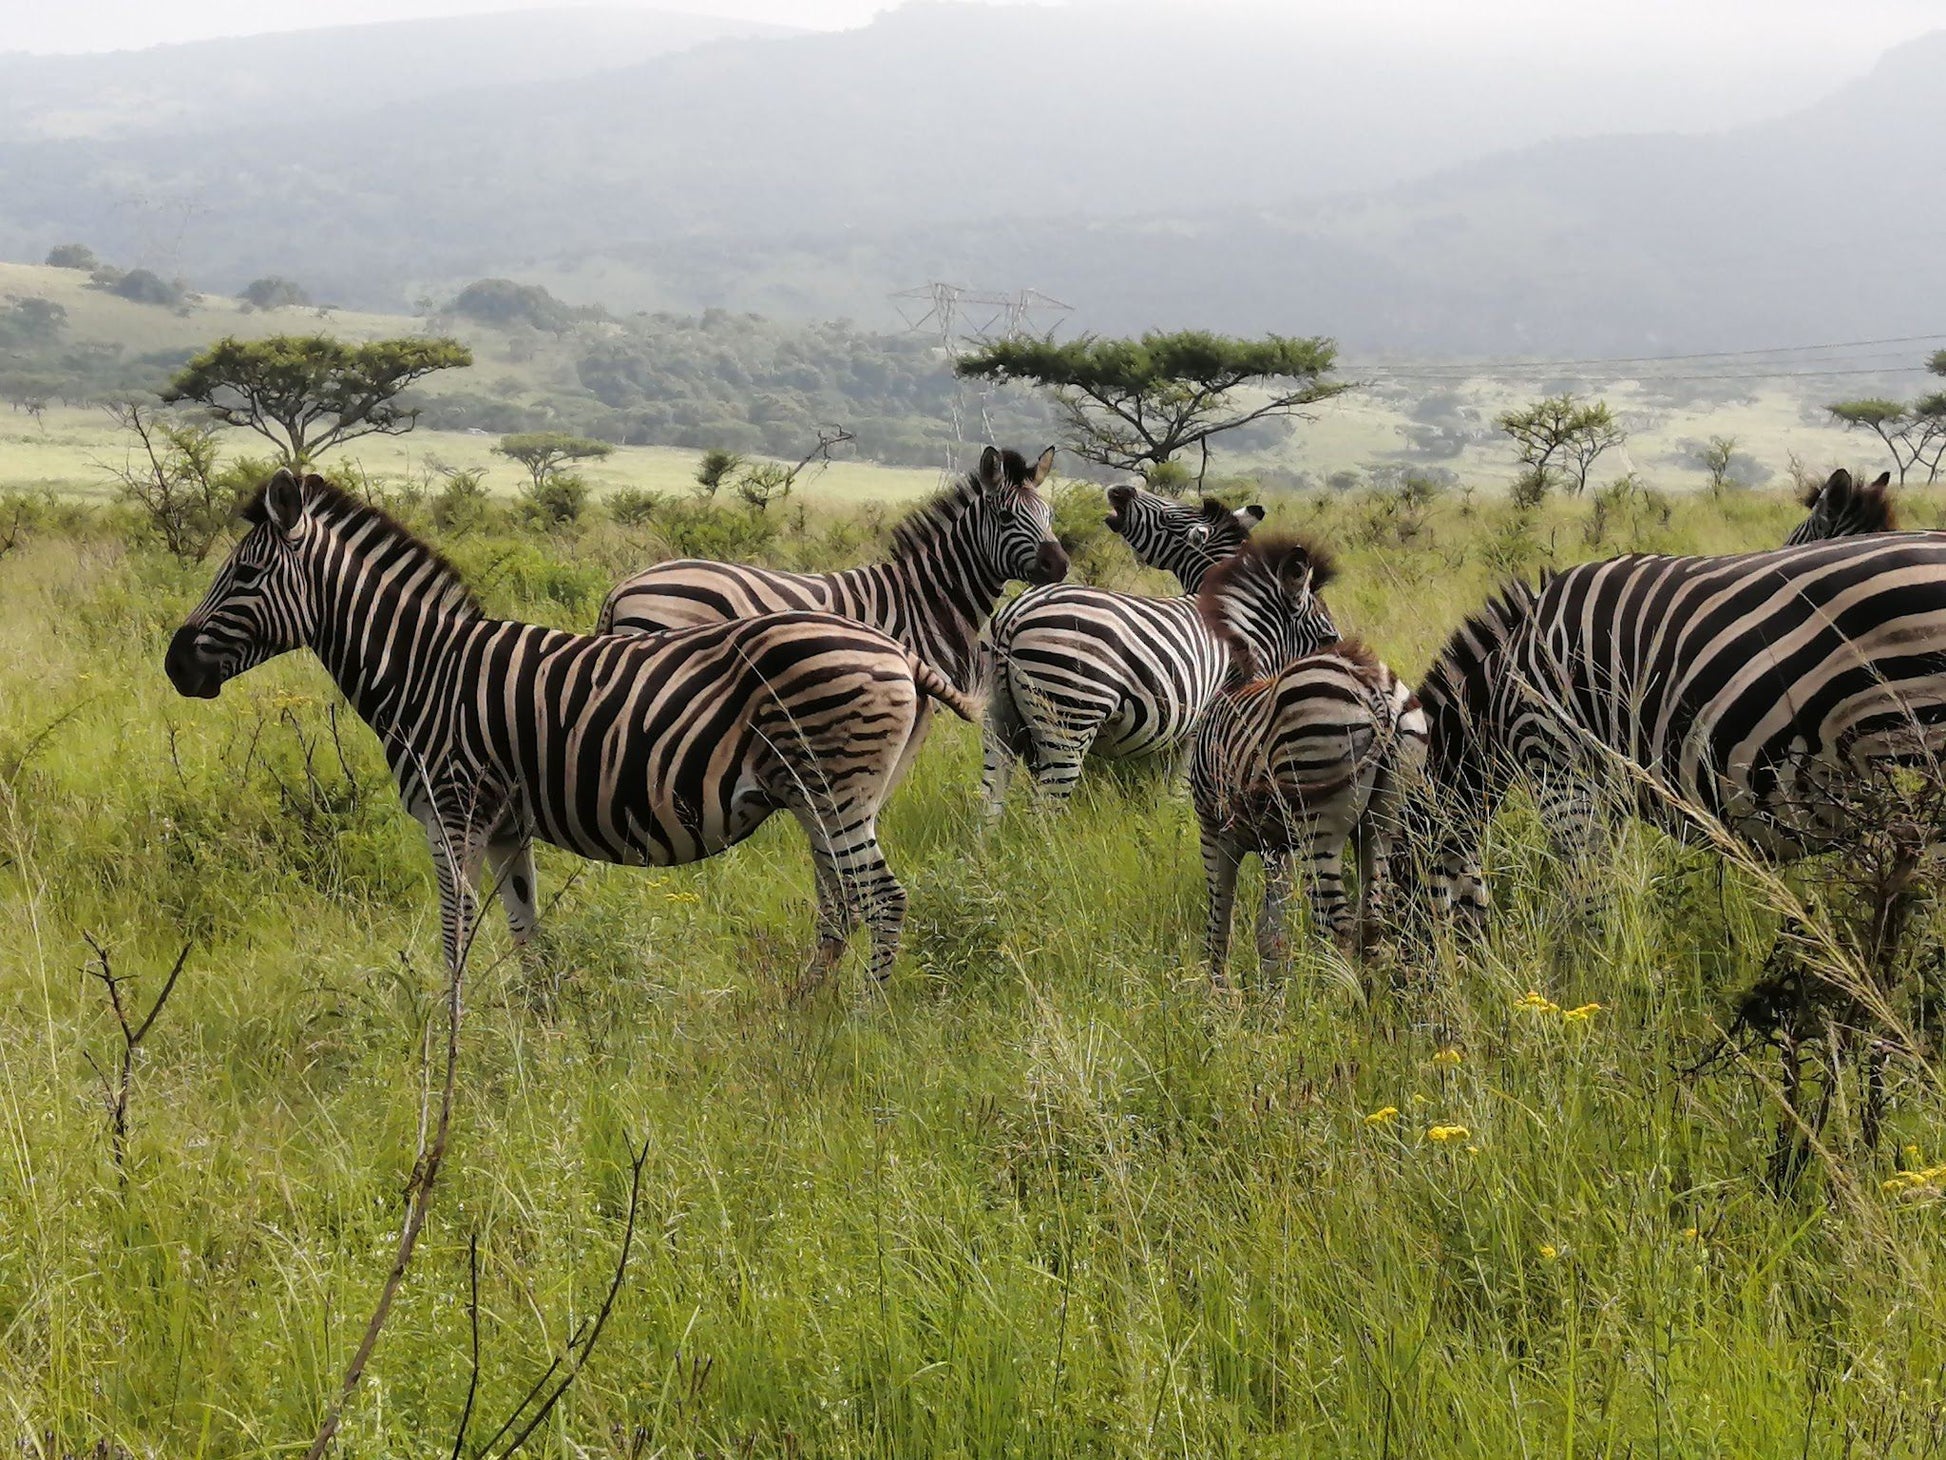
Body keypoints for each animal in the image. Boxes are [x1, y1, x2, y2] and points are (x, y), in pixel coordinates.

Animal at [163, 474, 988, 988]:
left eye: (243, 575)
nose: (175, 664)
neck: (425, 669)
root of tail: (893, 647)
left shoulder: (453, 811)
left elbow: (455, 934)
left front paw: (447, 1042)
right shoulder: (505, 824)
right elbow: (525, 933)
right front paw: (537, 1036)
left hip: (836, 793)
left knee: (882, 900)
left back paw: (862, 1020)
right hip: (834, 799)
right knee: (844, 905)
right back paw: (805, 1014)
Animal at [1183, 537, 1432, 985]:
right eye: (1328, 633)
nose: (1340, 641)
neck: (1244, 676)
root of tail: (1377, 691)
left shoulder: (1214, 827)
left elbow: (1220, 912)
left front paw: (1217, 989)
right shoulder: (1276, 844)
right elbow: (1270, 926)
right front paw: (1272, 987)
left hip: (1321, 822)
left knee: (1337, 922)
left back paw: (1330, 996)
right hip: (1384, 817)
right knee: (1371, 918)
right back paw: (1365, 997)